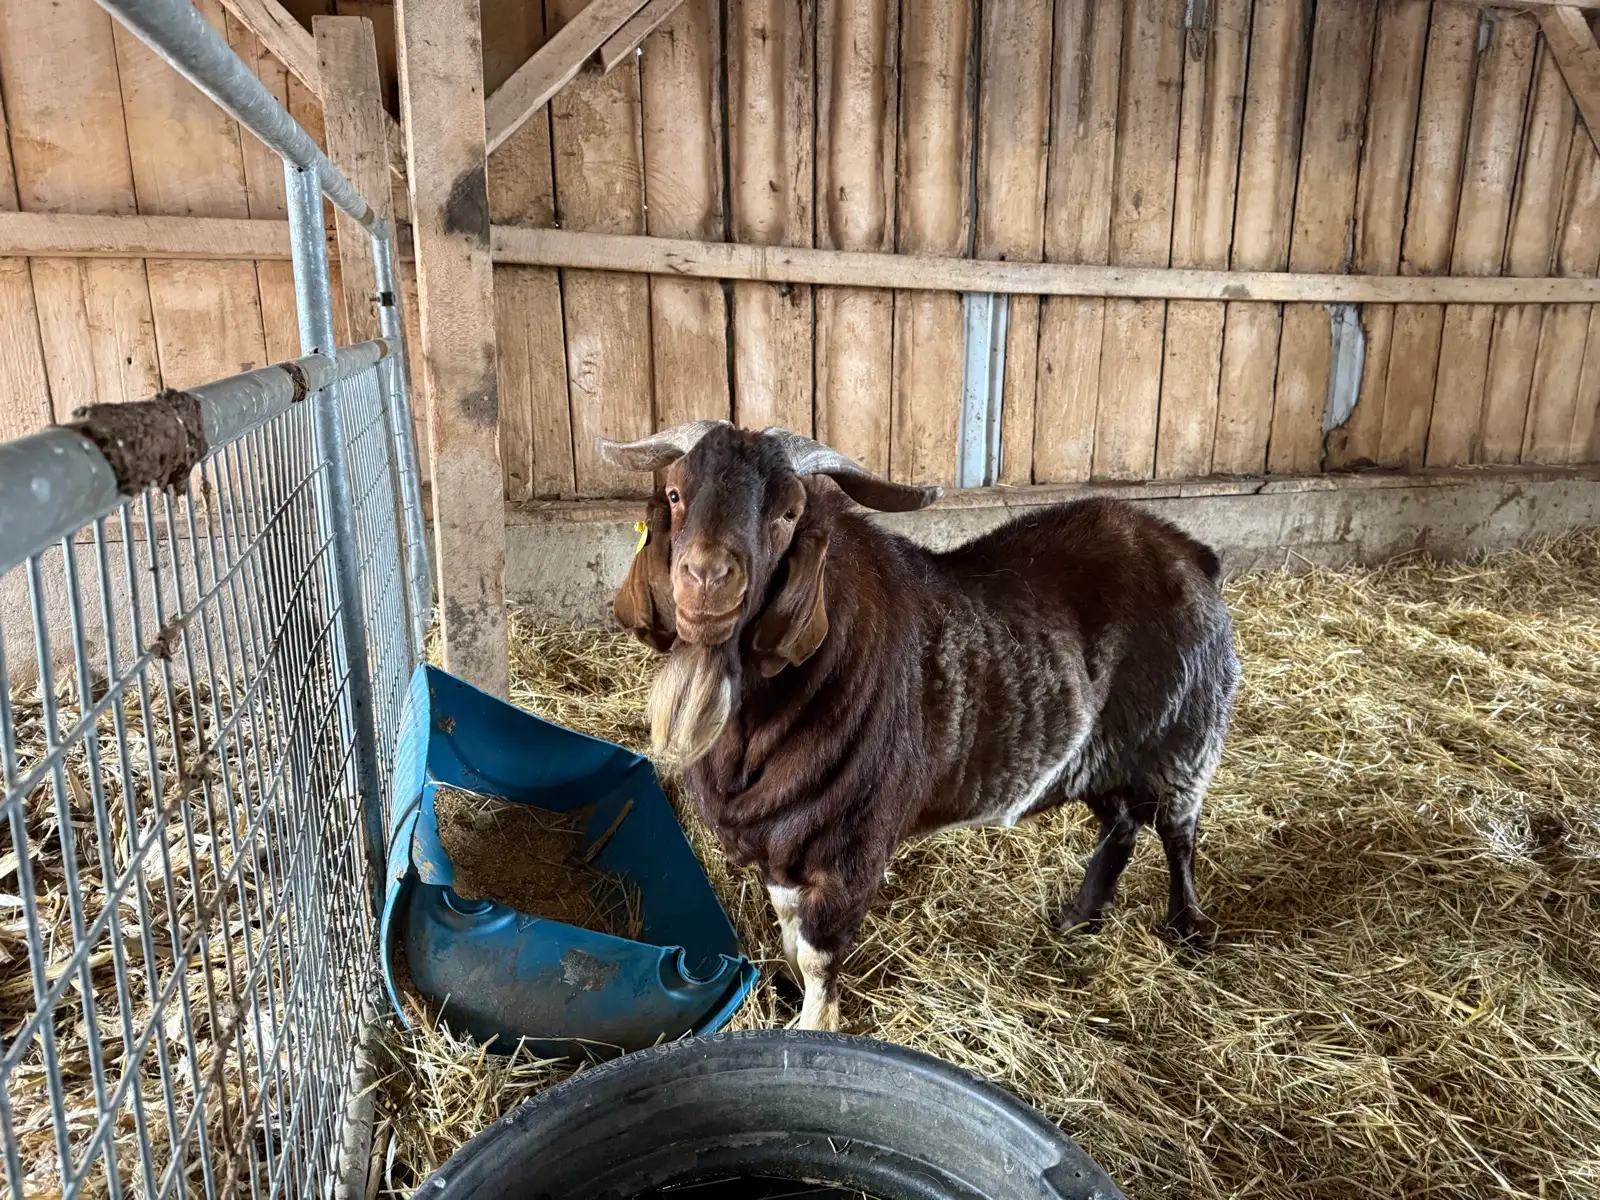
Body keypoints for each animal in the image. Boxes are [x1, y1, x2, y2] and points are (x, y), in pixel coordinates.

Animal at [600, 422, 1240, 1031]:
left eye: (787, 513)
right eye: (676, 493)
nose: (707, 578)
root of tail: (1192, 553)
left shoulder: (847, 850)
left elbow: (818, 954)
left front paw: (816, 1025)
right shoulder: (782, 846)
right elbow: (788, 933)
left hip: (1183, 740)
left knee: (1178, 832)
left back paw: (1185, 927)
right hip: (1096, 760)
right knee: (1124, 826)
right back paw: (1078, 919)